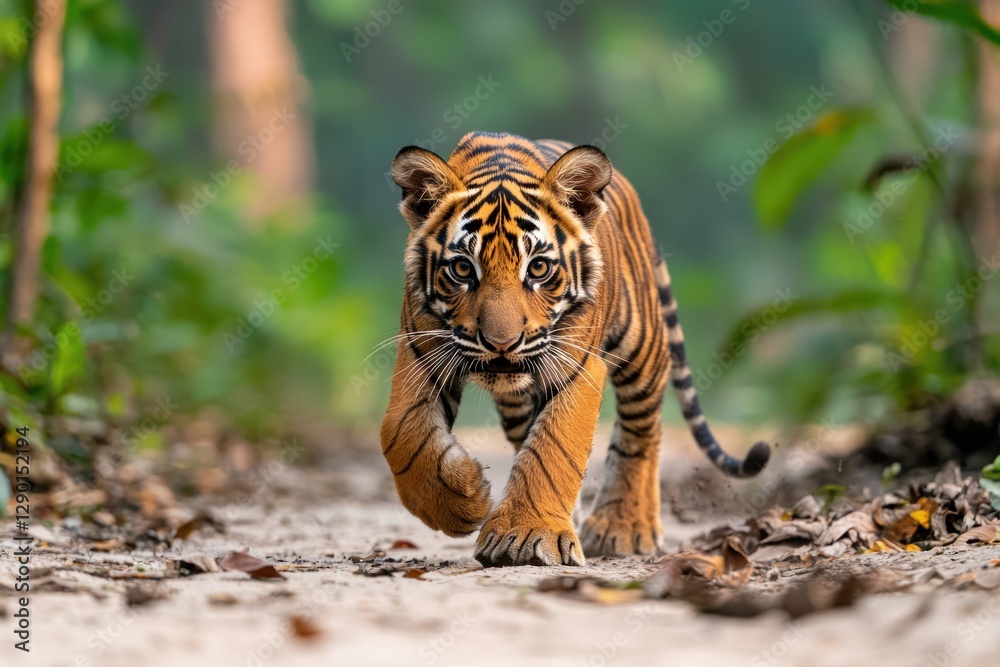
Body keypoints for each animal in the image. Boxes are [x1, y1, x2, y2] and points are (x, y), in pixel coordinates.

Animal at [380, 131, 771, 567]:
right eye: (463, 268)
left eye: (538, 268)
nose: (501, 344)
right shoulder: (421, 355)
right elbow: (401, 433)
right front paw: (463, 500)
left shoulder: (577, 364)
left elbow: (554, 446)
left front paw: (525, 534)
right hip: (516, 404)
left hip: (643, 351)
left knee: (641, 432)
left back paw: (624, 527)